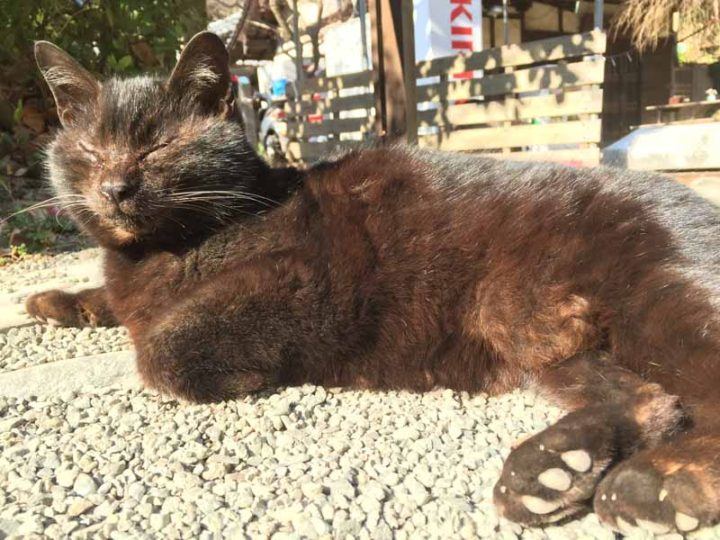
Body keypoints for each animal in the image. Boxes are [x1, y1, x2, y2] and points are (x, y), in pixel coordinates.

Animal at [25, 31, 720, 532]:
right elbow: (113, 304)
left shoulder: (303, 282)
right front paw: (55, 301)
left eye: (157, 149)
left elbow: (160, 348)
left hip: (658, 302)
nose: (116, 188)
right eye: (89, 153)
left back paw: (663, 486)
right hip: (544, 344)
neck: (157, 254)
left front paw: (231, 369)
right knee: (656, 402)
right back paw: (552, 472)